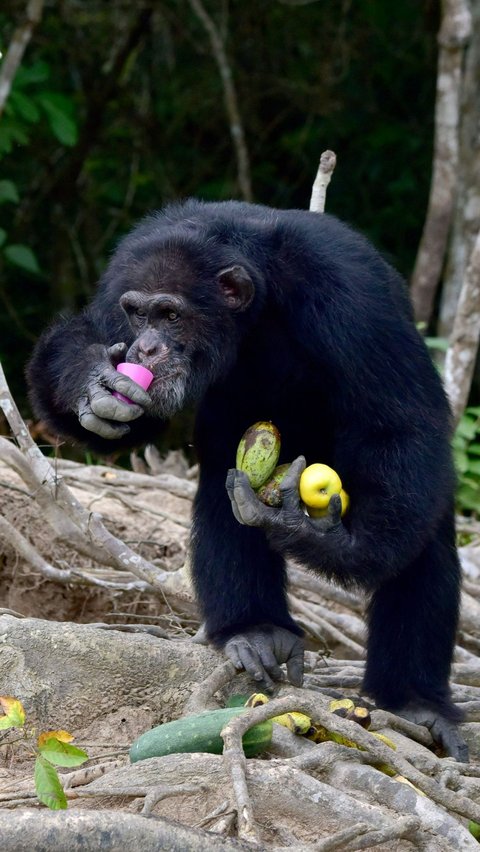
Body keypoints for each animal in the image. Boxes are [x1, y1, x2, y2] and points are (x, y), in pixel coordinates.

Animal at [28, 200, 466, 760]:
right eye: (137, 312)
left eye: (170, 314)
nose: (144, 347)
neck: (256, 307)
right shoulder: (116, 285)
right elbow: (116, 404)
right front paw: (93, 379)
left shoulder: (355, 295)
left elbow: (401, 424)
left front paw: (323, 537)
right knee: (223, 486)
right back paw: (255, 628)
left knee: (420, 534)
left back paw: (415, 702)